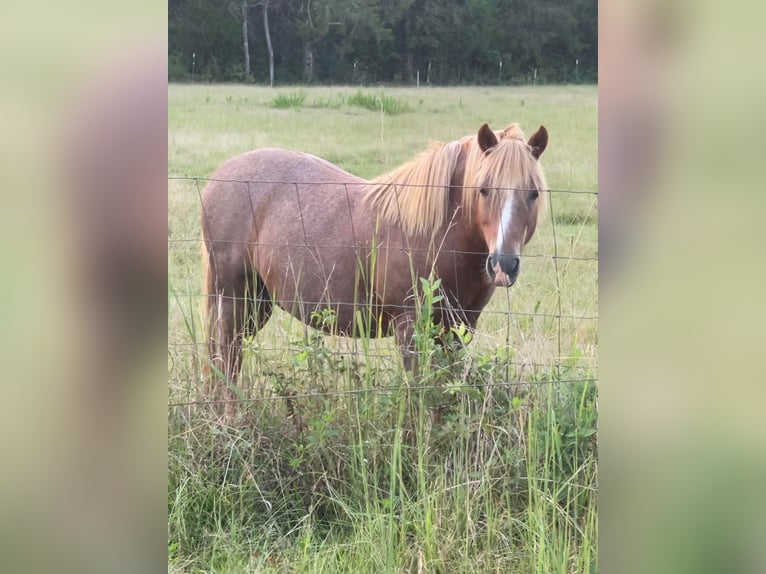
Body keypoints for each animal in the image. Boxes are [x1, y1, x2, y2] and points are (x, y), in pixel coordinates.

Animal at [202, 121, 552, 414]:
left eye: (533, 193)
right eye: (483, 189)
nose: (503, 265)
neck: (437, 234)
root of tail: (220, 175)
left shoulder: (457, 328)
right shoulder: (410, 327)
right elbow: (419, 394)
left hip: (257, 303)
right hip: (233, 299)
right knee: (227, 355)